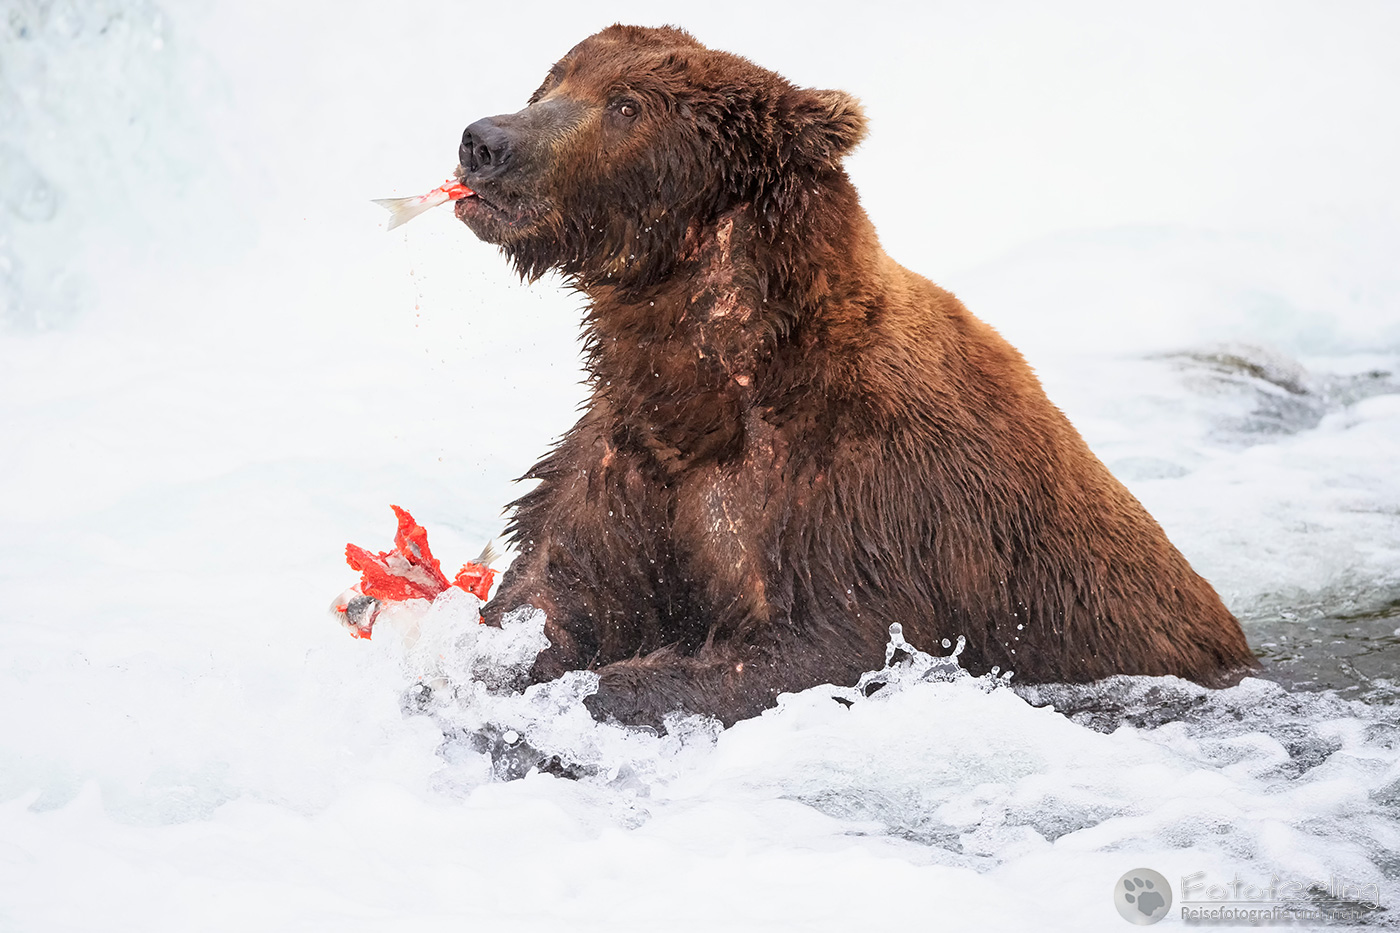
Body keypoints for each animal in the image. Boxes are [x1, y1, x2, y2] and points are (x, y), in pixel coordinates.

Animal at [452, 24, 1256, 728]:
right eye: (555, 77)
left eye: (627, 106)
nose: (485, 142)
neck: (714, 376)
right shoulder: (624, 454)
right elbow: (553, 585)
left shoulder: (862, 495)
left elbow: (826, 648)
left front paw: (594, 695)